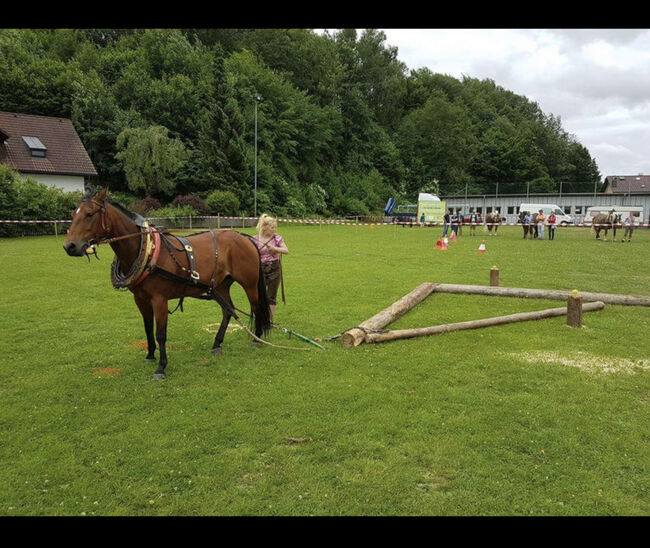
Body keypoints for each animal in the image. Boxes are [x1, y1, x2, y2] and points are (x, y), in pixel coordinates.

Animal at [63, 188, 270, 376]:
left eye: (90, 214)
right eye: (73, 214)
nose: (69, 246)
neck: (147, 251)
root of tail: (244, 237)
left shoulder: (159, 299)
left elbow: (161, 334)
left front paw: (161, 366)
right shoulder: (141, 299)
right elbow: (148, 328)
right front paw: (150, 355)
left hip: (249, 284)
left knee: (256, 306)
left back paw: (257, 339)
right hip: (220, 286)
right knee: (228, 311)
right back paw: (217, 343)